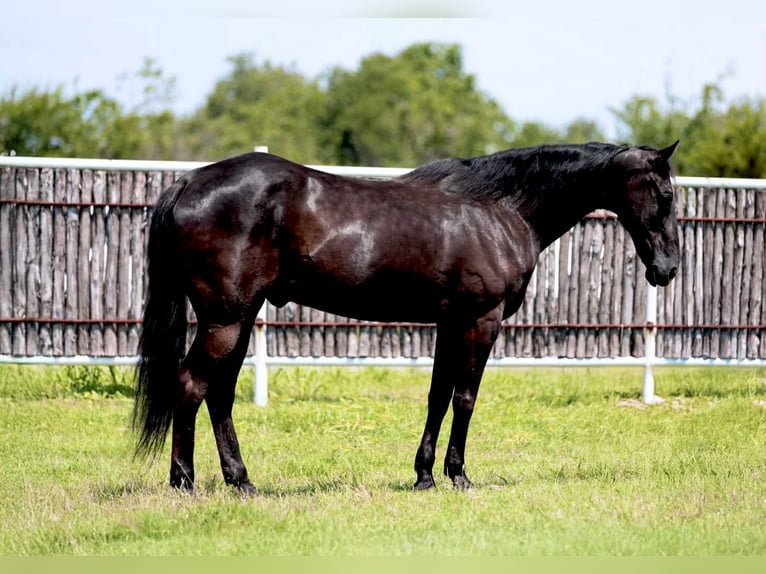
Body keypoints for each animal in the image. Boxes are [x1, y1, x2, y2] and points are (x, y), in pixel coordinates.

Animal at [133, 141, 680, 494]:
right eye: (667, 195)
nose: (668, 268)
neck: (500, 210)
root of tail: (189, 181)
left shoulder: (450, 323)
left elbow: (438, 397)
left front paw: (425, 475)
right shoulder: (481, 321)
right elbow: (465, 398)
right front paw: (459, 476)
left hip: (239, 320)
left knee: (218, 395)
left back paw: (241, 481)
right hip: (225, 320)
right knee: (191, 386)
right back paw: (185, 482)